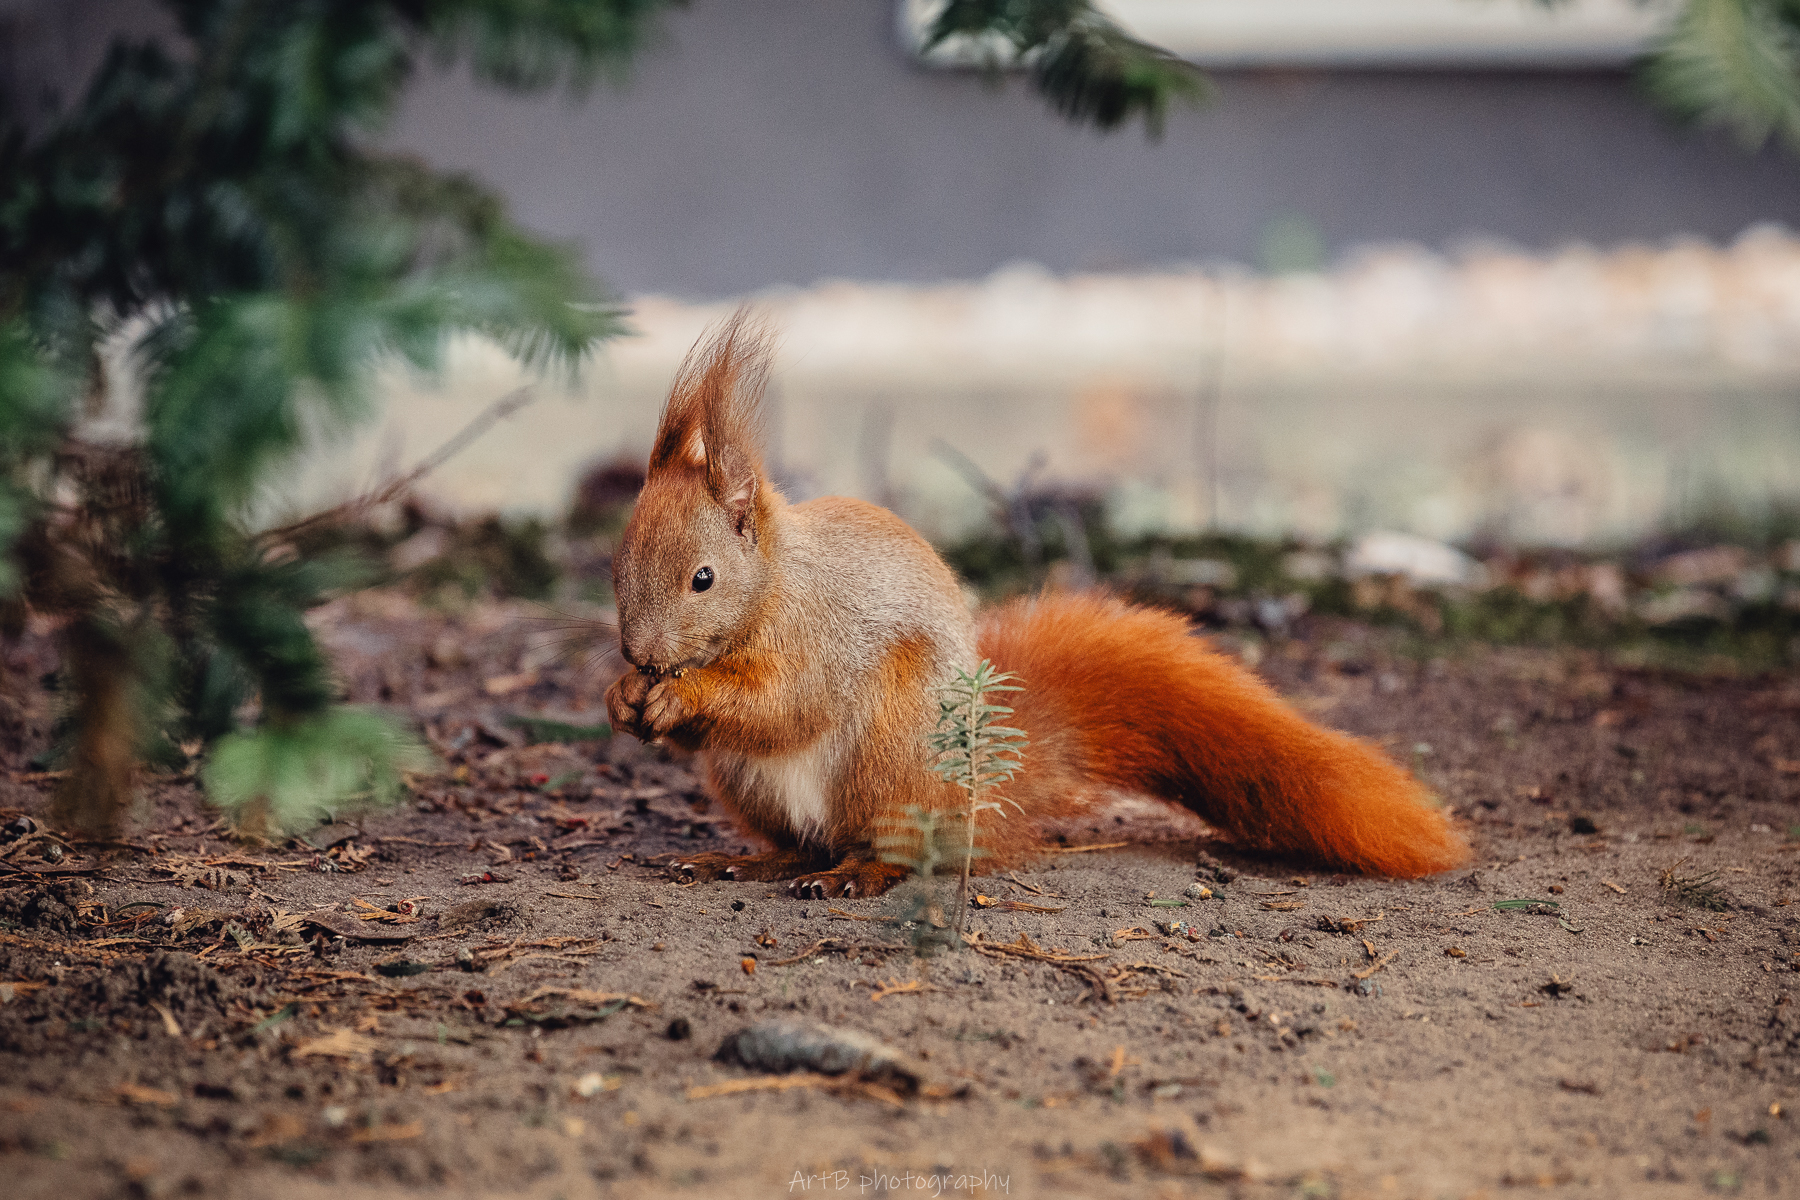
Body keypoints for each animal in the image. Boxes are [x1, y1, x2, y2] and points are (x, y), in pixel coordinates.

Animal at [604, 313, 1470, 898]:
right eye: (616, 565)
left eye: (704, 579)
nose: (642, 656)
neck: (776, 583)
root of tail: (977, 788)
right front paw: (622, 698)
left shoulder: (823, 634)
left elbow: (787, 702)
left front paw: (680, 695)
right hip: (751, 785)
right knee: (800, 844)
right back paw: (733, 858)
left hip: (893, 749)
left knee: (894, 849)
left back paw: (858, 875)